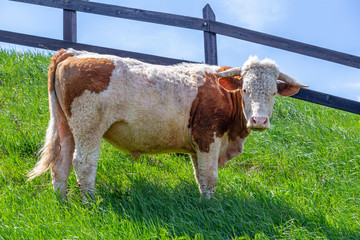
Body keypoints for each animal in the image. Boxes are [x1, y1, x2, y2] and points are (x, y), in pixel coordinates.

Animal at [28, 48, 308, 199]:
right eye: (246, 90)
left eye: (273, 93)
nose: (259, 120)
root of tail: (72, 53)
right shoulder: (208, 137)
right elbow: (210, 176)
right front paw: (209, 207)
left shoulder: (197, 146)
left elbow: (200, 177)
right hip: (88, 126)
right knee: (83, 164)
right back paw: (90, 203)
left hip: (65, 125)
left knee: (60, 163)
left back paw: (63, 201)